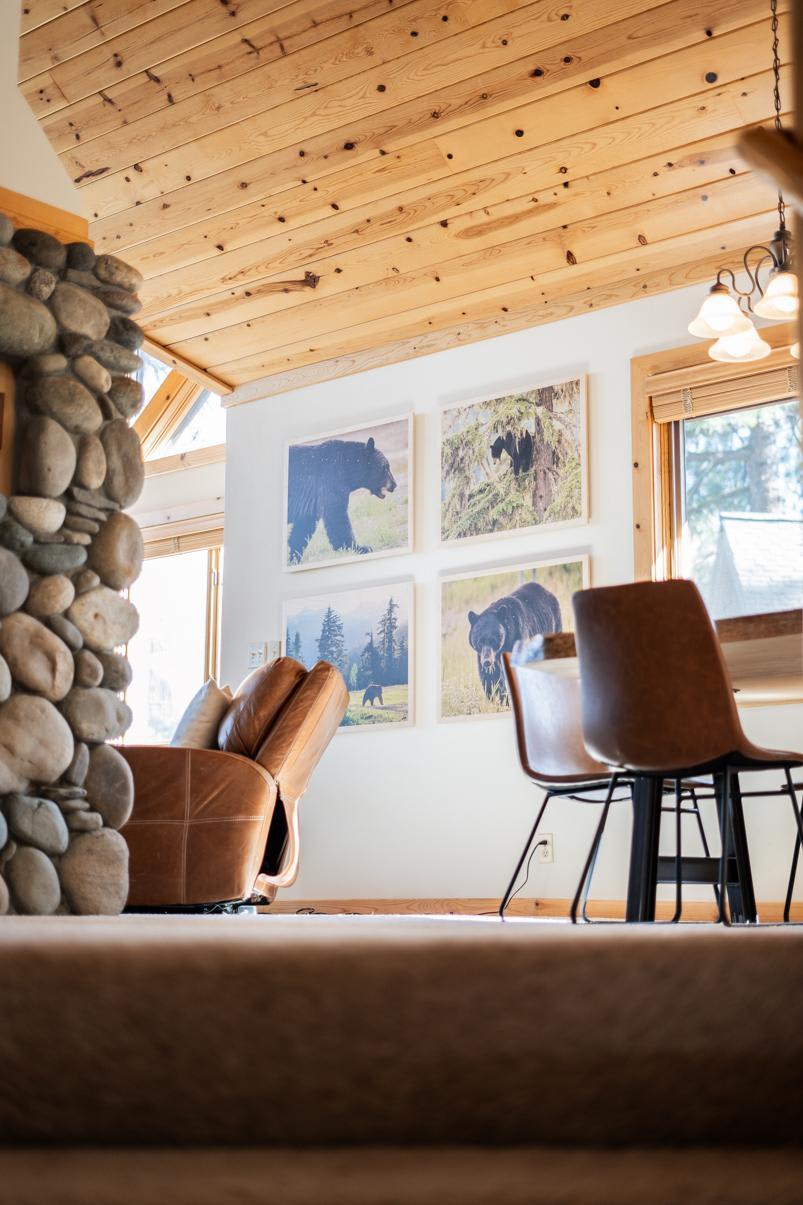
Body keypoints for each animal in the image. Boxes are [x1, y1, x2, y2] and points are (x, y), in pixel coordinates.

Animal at [284, 419, 409, 568]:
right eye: (385, 468)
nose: (394, 485)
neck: (348, 467)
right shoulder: (331, 478)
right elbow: (336, 513)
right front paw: (360, 547)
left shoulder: (310, 500)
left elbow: (304, 525)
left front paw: (294, 556)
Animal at [465, 575, 559, 703]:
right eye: (479, 642)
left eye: (493, 640)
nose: (487, 662)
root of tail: (546, 590)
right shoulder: (483, 654)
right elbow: (491, 677)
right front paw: (500, 699)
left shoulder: (518, 636)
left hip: (554, 623)